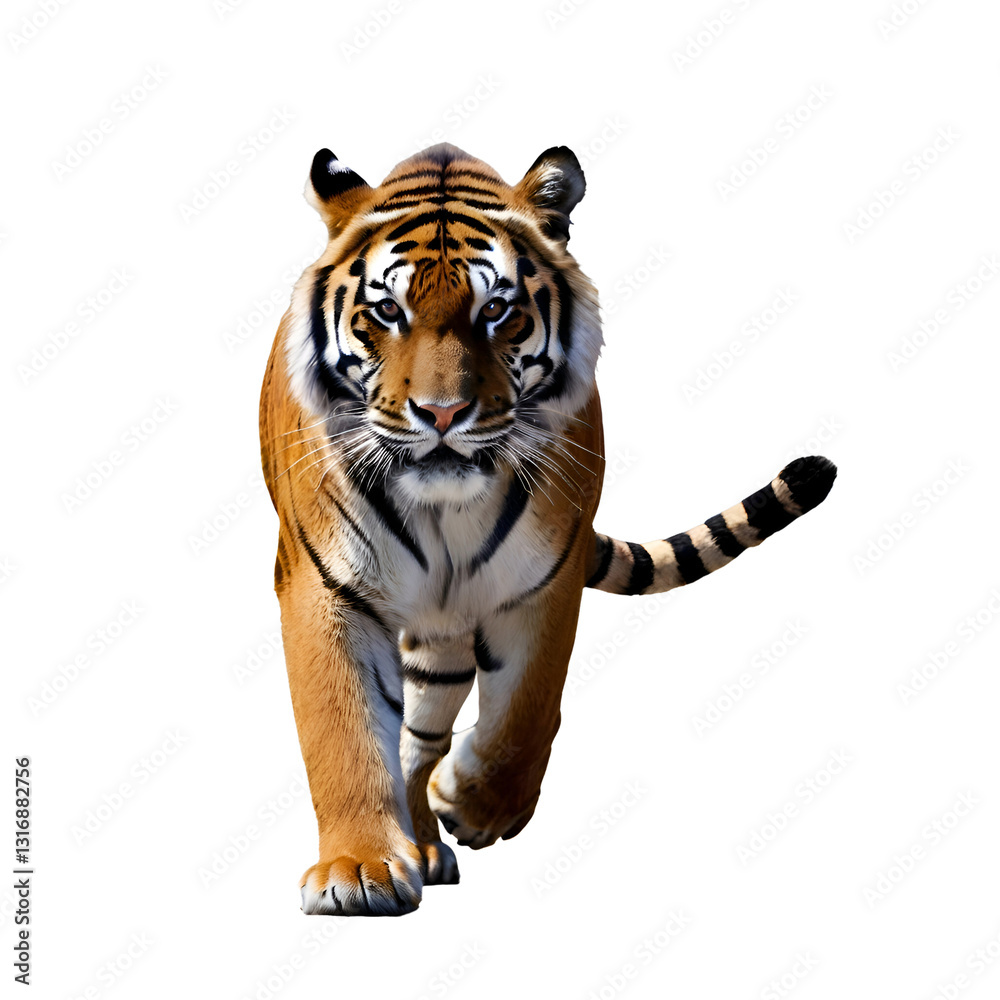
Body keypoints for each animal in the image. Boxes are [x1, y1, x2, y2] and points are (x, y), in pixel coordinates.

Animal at [259, 142, 837, 916]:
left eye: (496, 310)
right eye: (386, 311)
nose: (441, 414)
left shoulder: (545, 579)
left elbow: (528, 714)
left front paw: (474, 803)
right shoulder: (326, 583)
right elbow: (340, 728)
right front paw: (358, 870)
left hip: (445, 640)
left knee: (424, 732)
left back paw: (430, 837)